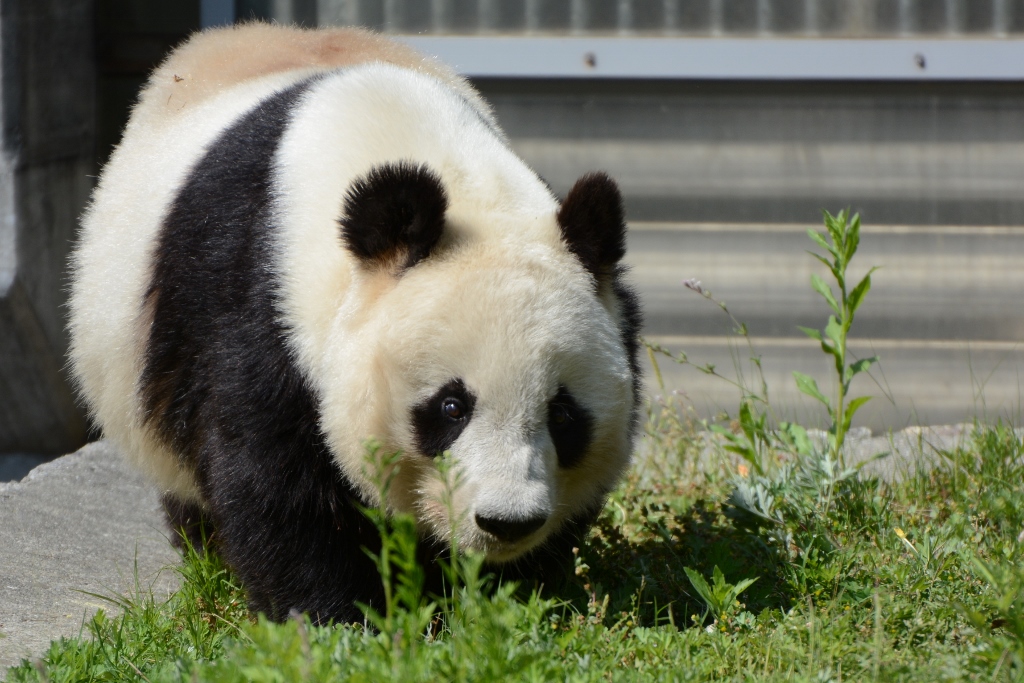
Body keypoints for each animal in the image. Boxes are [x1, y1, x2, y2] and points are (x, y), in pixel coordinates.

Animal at [70, 25, 638, 626]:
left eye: (563, 413)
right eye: (450, 407)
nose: (507, 522)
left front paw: (512, 599)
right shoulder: (259, 305)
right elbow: (274, 480)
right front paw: (333, 618)